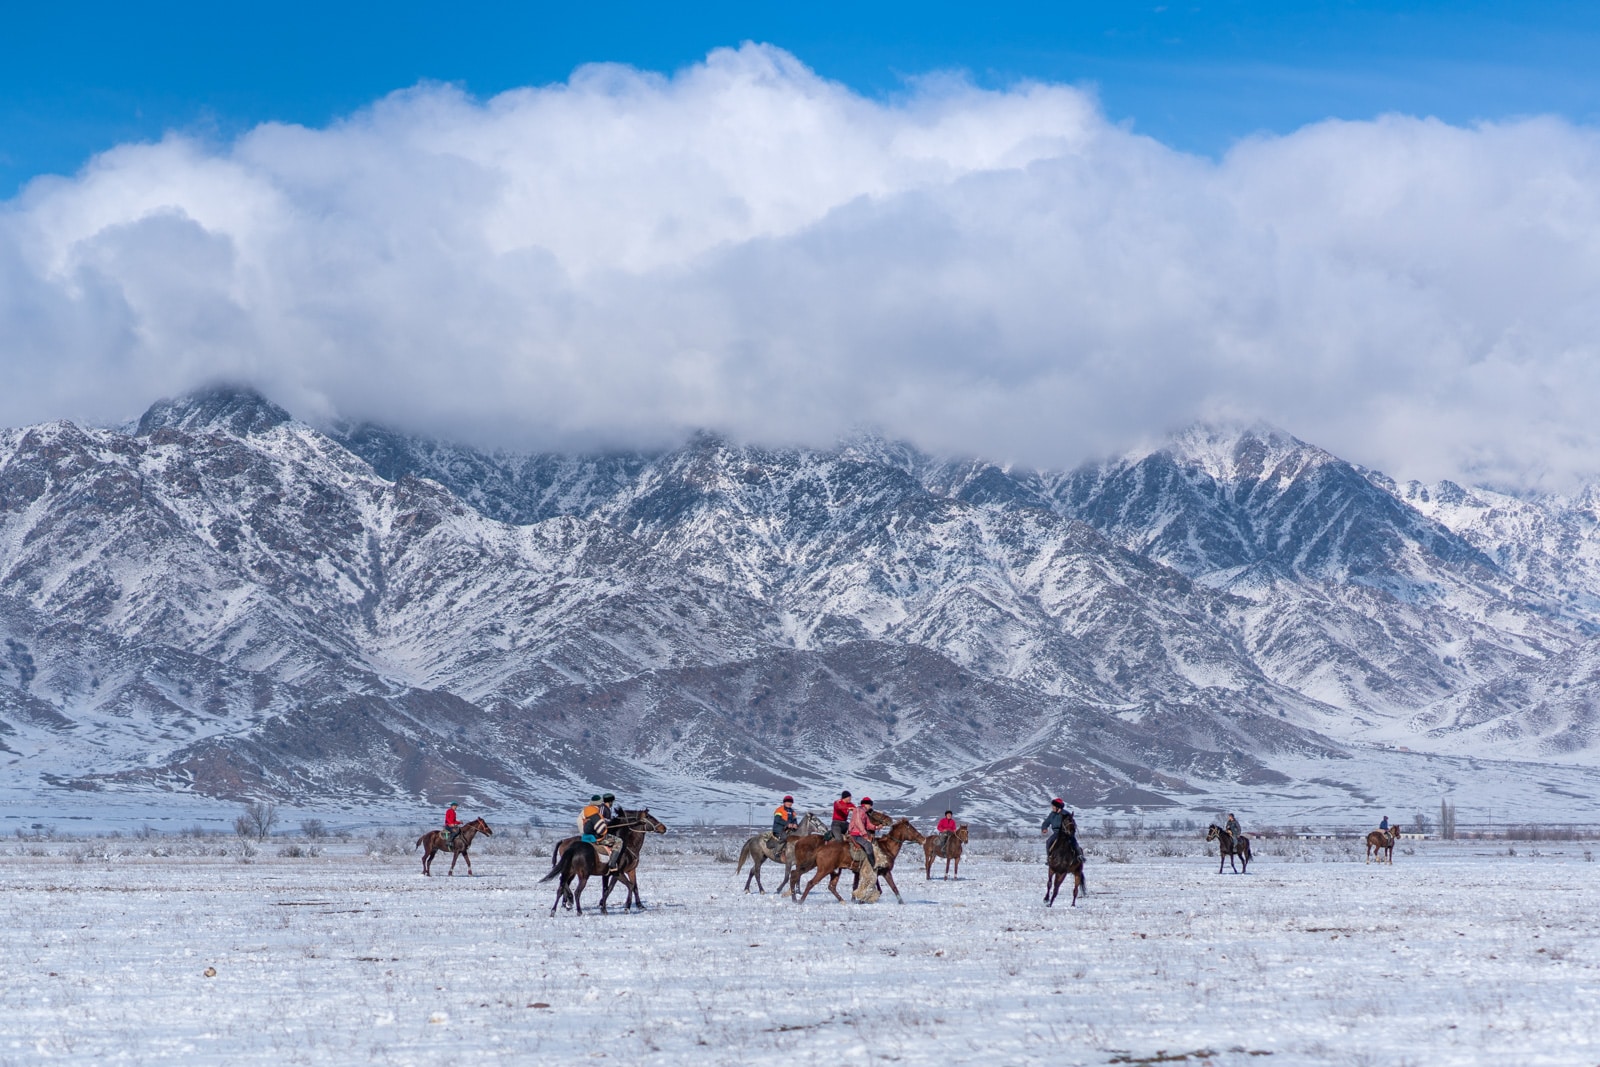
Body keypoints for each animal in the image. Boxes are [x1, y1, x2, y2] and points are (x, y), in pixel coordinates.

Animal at [796, 819, 928, 902]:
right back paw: (800, 901)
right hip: (824, 870)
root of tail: (821, 849)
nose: (923, 839)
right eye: (911, 829)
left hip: (834, 871)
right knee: (811, 883)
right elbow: (886, 888)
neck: (886, 848)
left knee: (831, 886)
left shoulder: (879, 873)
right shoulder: (882, 872)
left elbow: (885, 889)